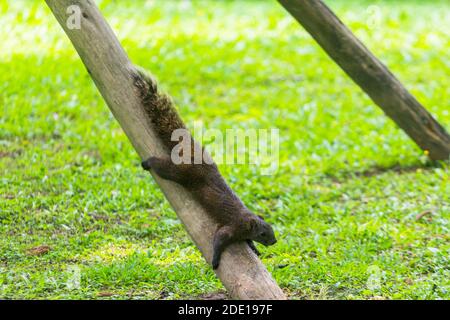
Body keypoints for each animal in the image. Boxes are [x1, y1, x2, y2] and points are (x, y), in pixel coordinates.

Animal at [132, 67, 276, 270]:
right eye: (263, 234)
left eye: (272, 230)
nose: (274, 241)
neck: (246, 220)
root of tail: (191, 150)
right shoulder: (232, 227)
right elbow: (219, 240)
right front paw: (215, 261)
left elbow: (247, 242)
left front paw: (255, 249)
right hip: (180, 172)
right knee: (162, 167)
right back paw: (147, 162)